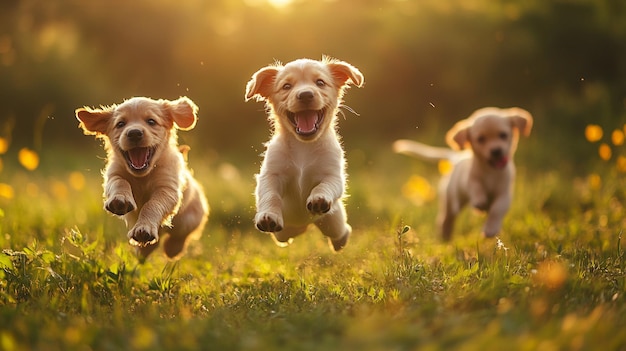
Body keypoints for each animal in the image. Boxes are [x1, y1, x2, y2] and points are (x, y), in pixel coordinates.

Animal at [74, 97, 208, 260]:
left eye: (151, 121)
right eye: (120, 124)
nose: (134, 133)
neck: (143, 176)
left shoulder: (167, 188)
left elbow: (152, 204)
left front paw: (144, 228)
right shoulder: (113, 175)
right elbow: (120, 182)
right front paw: (120, 200)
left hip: (190, 218)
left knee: (180, 234)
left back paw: (172, 248)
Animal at [243, 56, 360, 252]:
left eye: (320, 82)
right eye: (286, 86)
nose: (305, 95)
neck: (303, 146)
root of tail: (303, 226)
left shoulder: (334, 175)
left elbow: (325, 185)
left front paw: (319, 198)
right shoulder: (271, 174)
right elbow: (270, 195)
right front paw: (268, 215)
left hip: (332, 220)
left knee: (341, 230)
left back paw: (340, 242)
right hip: (283, 233)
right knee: (283, 237)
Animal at [390, 107, 532, 242]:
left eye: (503, 135)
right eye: (481, 139)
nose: (496, 151)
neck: (490, 170)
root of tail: (454, 157)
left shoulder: (504, 194)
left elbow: (497, 210)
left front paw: (491, 229)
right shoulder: (469, 180)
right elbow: (476, 186)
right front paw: (480, 201)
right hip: (449, 199)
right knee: (445, 218)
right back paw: (445, 236)